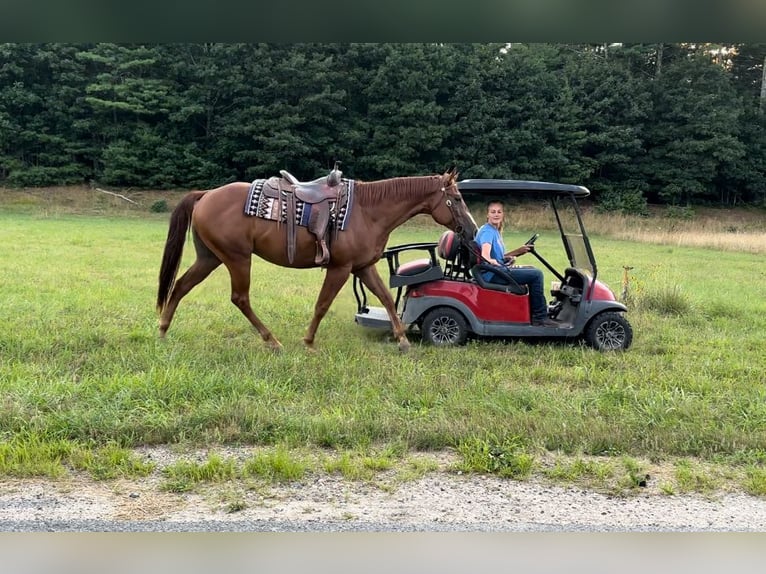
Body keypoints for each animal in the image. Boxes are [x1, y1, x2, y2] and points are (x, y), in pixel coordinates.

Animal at [156, 169, 476, 354]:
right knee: (240, 298)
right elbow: (323, 304)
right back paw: (272, 340)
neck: (368, 210)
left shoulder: (363, 266)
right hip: (237, 258)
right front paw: (308, 341)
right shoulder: (340, 268)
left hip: (210, 257)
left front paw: (403, 340)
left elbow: (385, 297)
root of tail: (206, 195)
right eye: (458, 199)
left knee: (181, 285)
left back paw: (162, 329)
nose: (472, 230)